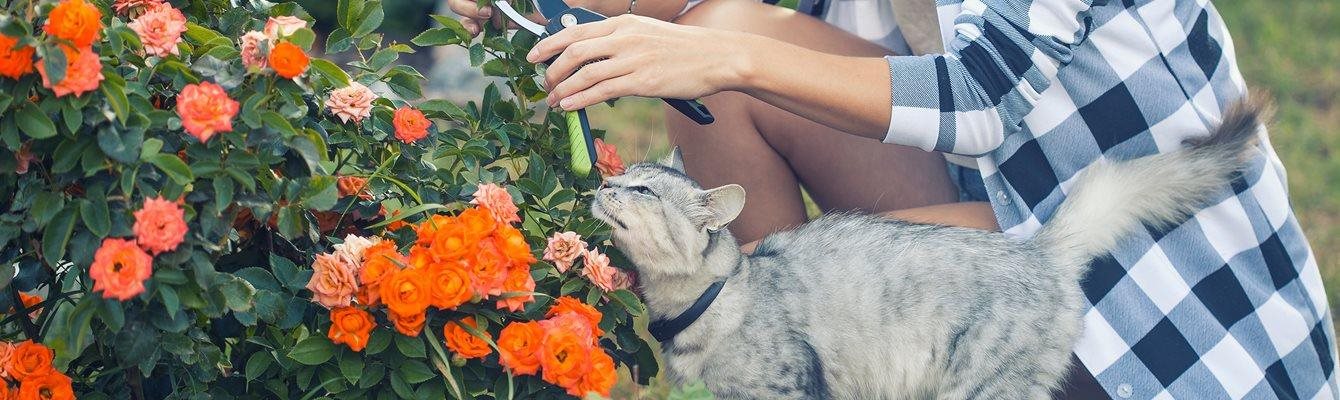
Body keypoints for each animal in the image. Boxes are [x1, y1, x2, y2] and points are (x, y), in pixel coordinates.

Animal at [592, 98, 1270, 398]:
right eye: (622, 175)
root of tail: (1039, 249)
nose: (599, 184)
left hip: (981, 387)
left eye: (643, 189)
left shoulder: (786, 390)